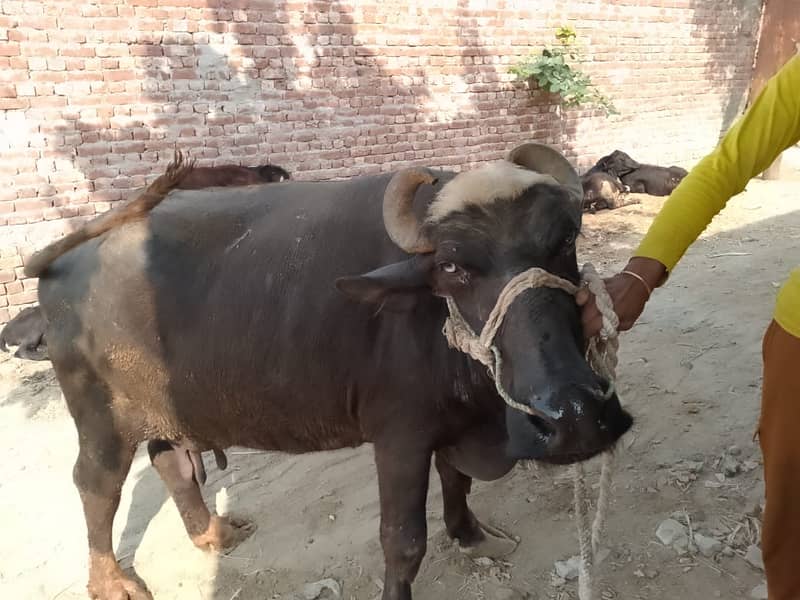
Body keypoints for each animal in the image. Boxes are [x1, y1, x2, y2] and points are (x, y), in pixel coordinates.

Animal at [27, 143, 632, 600]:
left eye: (565, 239)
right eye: (452, 266)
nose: (575, 416)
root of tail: (65, 258)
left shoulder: (448, 424)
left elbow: (456, 481)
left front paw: (469, 533)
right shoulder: (399, 435)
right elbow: (403, 539)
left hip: (167, 408)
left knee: (170, 462)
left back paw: (214, 533)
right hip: (100, 419)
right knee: (96, 485)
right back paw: (112, 584)